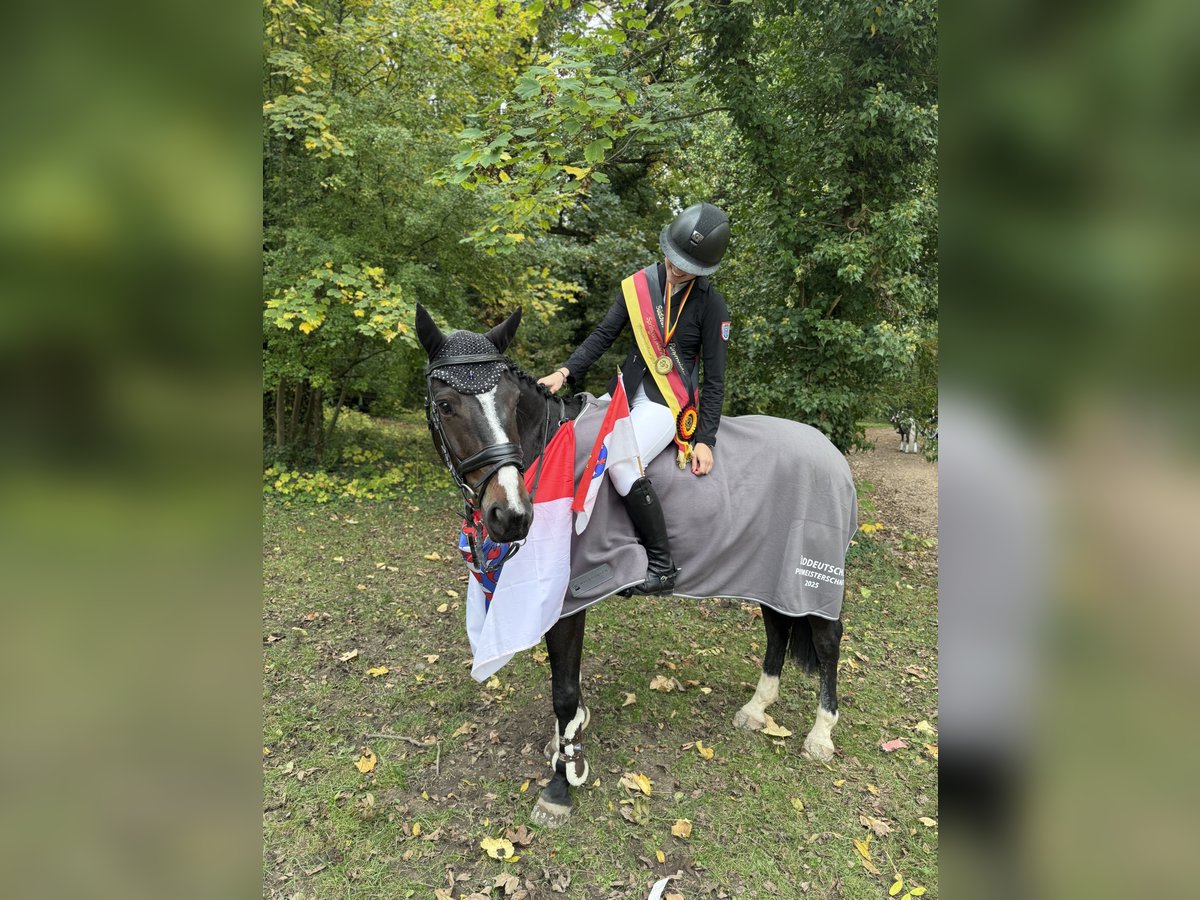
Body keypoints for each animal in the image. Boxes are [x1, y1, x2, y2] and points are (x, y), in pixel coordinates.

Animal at [416, 304, 847, 828]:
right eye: (446, 405)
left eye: (511, 400)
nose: (512, 515)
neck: (551, 451)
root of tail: (832, 454)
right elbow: (566, 683)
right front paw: (565, 742)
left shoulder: (570, 595)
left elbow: (563, 689)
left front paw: (560, 784)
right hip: (770, 572)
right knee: (777, 627)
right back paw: (756, 708)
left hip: (812, 575)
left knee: (826, 641)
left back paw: (821, 735)